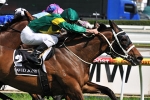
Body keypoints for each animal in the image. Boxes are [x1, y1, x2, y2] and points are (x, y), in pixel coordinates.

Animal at [0, 17, 142, 100]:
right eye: (124, 39)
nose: (139, 57)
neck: (74, 55)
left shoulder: (82, 85)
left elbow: (108, 90)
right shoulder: (73, 89)